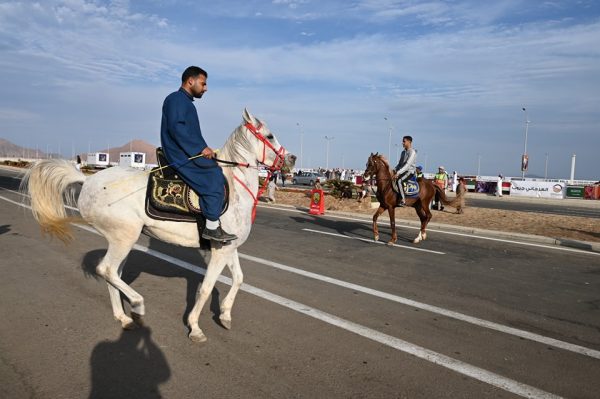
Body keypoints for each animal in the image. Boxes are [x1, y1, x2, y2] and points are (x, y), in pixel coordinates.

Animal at [21, 109, 298, 344]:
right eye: (270, 135)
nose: (292, 159)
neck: (234, 187)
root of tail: (87, 181)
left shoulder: (229, 247)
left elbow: (239, 278)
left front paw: (225, 315)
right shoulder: (220, 250)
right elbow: (206, 288)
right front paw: (195, 327)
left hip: (121, 240)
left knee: (113, 274)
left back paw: (123, 317)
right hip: (124, 237)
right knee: (106, 269)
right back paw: (137, 305)